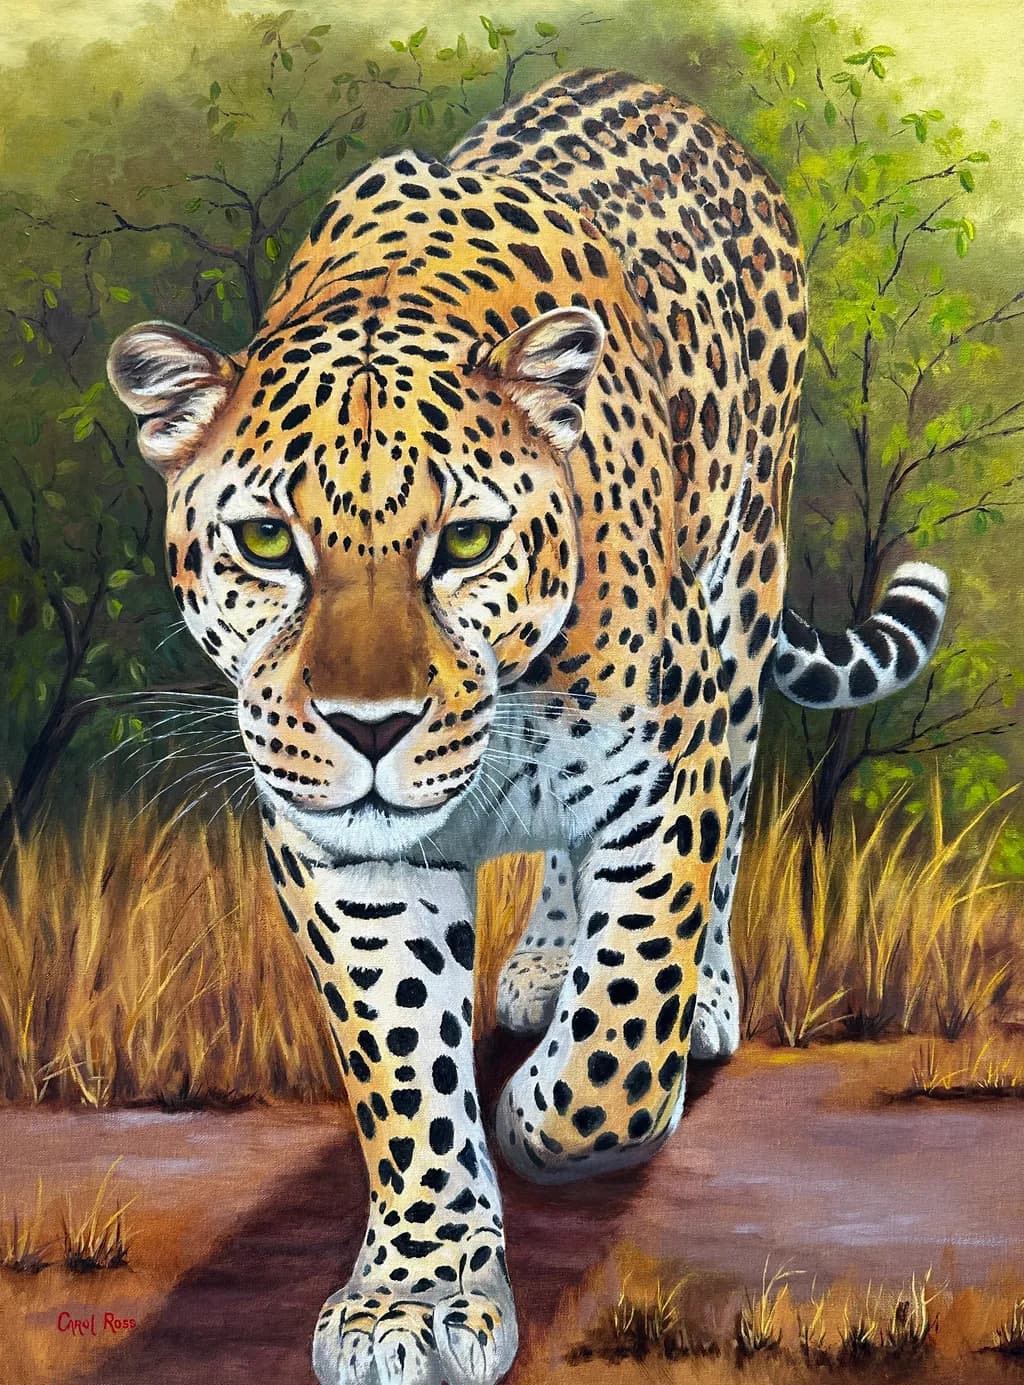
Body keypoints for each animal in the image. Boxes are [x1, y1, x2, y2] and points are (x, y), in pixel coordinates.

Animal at [107, 69, 948, 1385]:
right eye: (264, 541)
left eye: (464, 540)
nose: (369, 728)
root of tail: (658, 95)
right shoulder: (341, 847)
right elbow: (403, 1062)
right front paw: (415, 1290)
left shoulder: (668, 760)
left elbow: (623, 1027)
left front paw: (556, 1106)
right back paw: (548, 956)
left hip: (743, 594)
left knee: (726, 809)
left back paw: (699, 994)